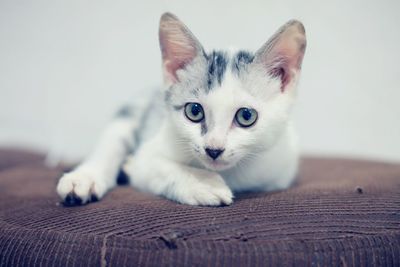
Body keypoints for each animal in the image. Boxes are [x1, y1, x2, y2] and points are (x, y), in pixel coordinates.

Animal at [55, 12, 306, 207]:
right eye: (194, 111)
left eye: (246, 116)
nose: (213, 149)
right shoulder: (147, 158)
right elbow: (159, 167)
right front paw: (202, 183)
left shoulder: (281, 172)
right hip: (127, 119)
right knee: (109, 147)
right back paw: (83, 179)